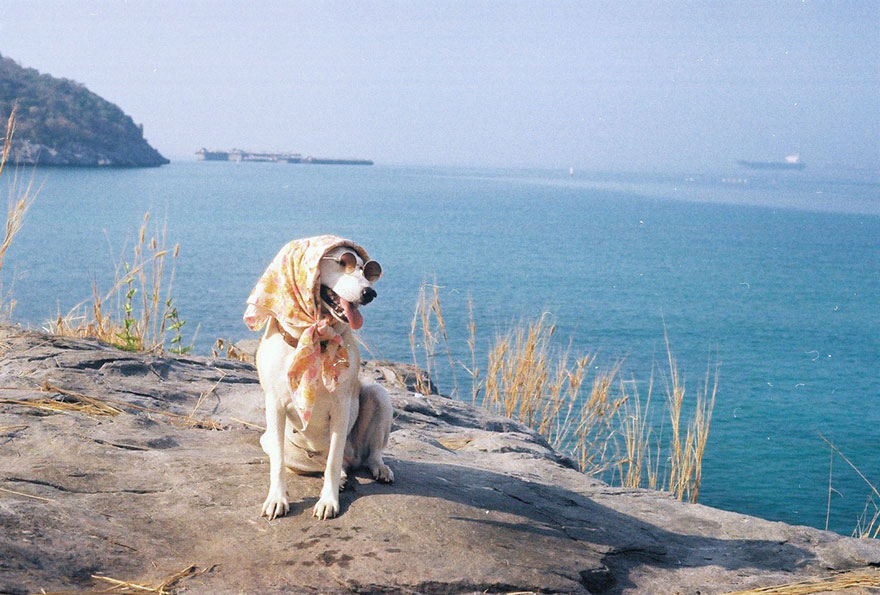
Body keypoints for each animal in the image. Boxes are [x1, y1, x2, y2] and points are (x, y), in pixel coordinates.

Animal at [241, 235, 392, 520]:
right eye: (344, 262)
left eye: (366, 270)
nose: (370, 293)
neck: (315, 337)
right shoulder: (274, 405)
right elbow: (278, 462)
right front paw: (277, 499)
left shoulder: (342, 407)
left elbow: (333, 460)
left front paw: (328, 501)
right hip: (271, 440)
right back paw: (342, 477)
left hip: (378, 397)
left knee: (366, 455)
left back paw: (378, 469)